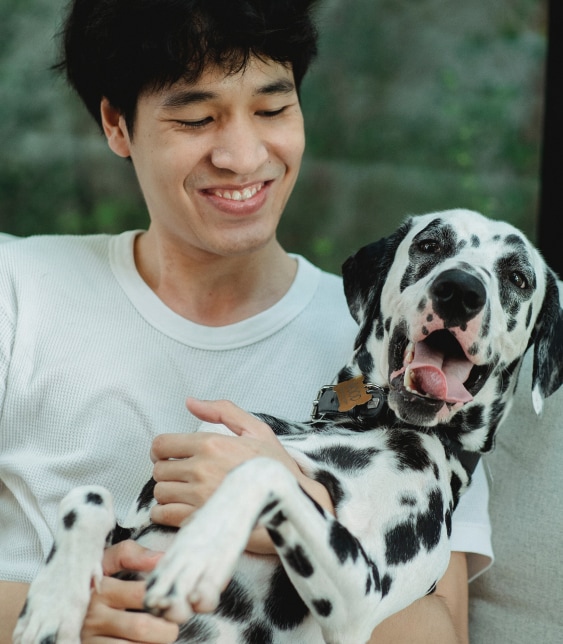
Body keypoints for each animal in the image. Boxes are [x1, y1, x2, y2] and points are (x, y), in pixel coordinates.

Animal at [14, 209, 563, 644]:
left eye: (517, 277)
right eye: (431, 245)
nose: (461, 290)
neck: (368, 425)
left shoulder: (361, 597)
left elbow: (263, 469)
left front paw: (199, 553)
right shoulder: (133, 524)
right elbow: (87, 495)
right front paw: (51, 605)